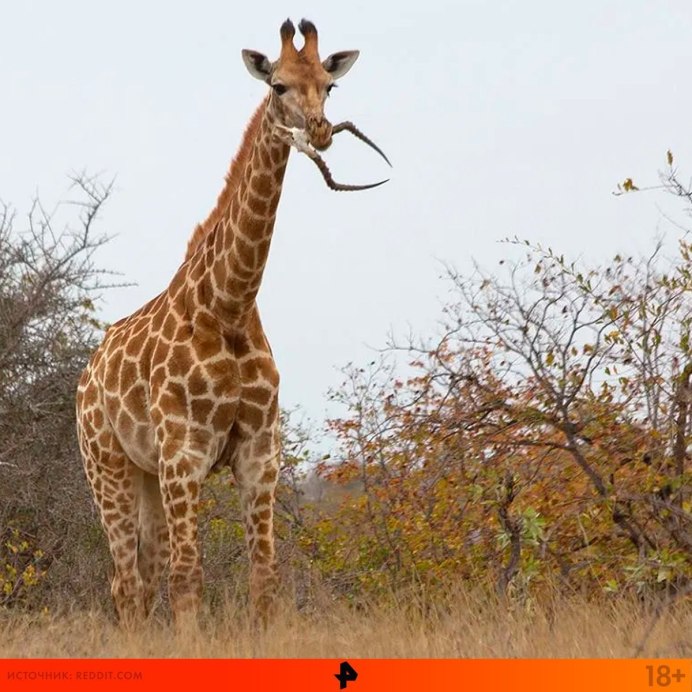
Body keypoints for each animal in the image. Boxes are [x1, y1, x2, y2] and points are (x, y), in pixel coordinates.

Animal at [75, 18, 373, 629]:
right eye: (278, 85)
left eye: (328, 85)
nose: (320, 131)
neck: (230, 305)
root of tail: (86, 376)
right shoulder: (184, 454)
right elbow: (189, 579)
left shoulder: (259, 453)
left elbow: (264, 579)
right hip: (107, 466)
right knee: (126, 583)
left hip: (146, 475)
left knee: (141, 579)